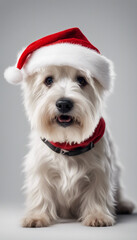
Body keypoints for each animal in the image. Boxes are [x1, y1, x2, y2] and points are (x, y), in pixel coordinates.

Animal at [3, 28, 134, 227]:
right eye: (48, 80)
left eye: (82, 80)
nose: (64, 103)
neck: (68, 142)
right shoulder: (40, 168)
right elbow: (40, 191)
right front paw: (37, 216)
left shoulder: (100, 170)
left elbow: (97, 192)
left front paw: (97, 215)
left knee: (118, 191)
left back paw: (125, 204)